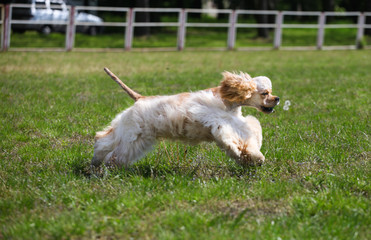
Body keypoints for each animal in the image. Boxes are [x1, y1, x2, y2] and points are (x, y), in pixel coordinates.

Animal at [92, 68, 280, 169]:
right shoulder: (219, 122)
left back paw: (96, 163)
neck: (228, 102)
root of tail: (140, 98)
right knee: (111, 148)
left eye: (270, 92)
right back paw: (106, 167)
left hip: (133, 134)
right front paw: (249, 156)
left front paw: (250, 157)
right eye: (265, 93)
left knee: (104, 141)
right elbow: (232, 139)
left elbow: (252, 129)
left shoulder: (236, 122)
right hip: (133, 134)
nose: (277, 98)